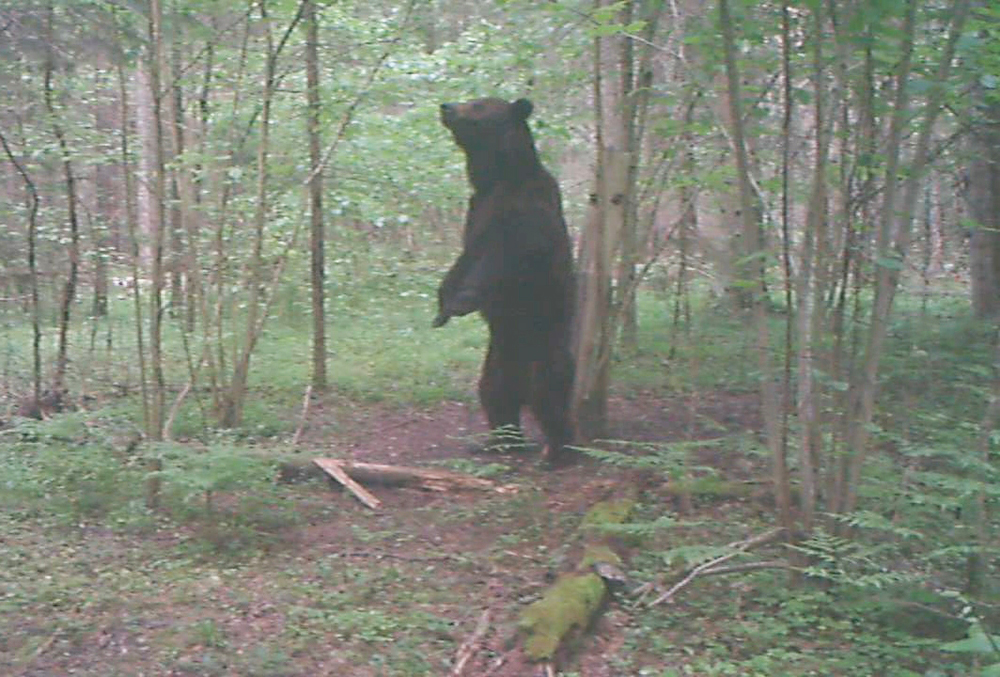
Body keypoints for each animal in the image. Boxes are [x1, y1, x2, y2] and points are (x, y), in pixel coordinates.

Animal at [434, 96, 576, 464]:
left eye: (477, 105)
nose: (446, 106)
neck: (498, 178)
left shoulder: (527, 212)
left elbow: (504, 257)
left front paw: (463, 300)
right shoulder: (476, 210)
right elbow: (464, 257)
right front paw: (442, 304)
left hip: (545, 343)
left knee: (550, 393)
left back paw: (557, 451)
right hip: (498, 359)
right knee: (494, 395)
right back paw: (499, 442)